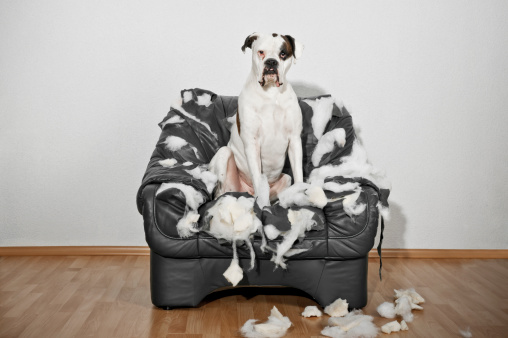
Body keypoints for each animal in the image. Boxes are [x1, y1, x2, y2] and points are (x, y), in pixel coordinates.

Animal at [208, 34, 304, 209]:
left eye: (283, 54)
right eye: (261, 52)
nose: (271, 62)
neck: (271, 93)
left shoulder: (294, 140)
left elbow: (299, 173)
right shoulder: (252, 144)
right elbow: (259, 179)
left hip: (286, 179)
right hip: (224, 155)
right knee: (220, 192)